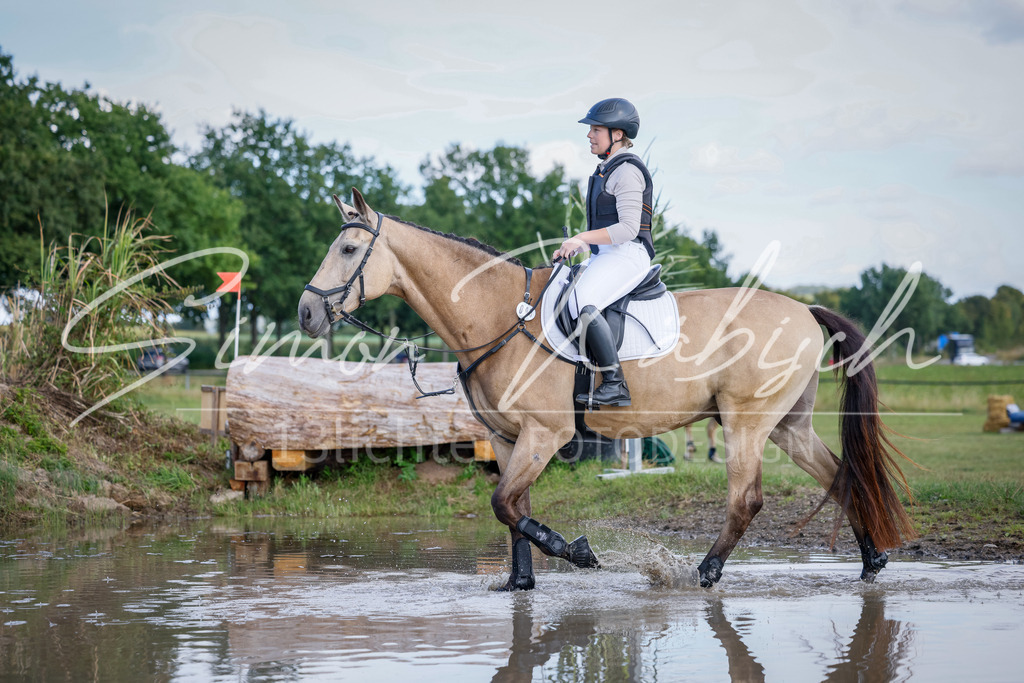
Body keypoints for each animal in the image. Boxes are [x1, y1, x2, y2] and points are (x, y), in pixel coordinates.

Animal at [298, 189, 915, 590]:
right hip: (788, 425)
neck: (496, 314)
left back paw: (704, 573)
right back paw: (870, 562)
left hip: (747, 423)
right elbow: (512, 508)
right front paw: (521, 583)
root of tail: (804, 310)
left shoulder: (545, 434)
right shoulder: (508, 439)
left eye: (348, 251)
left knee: (747, 500)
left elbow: (504, 504)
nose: (306, 312)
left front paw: (576, 552)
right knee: (841, 475)